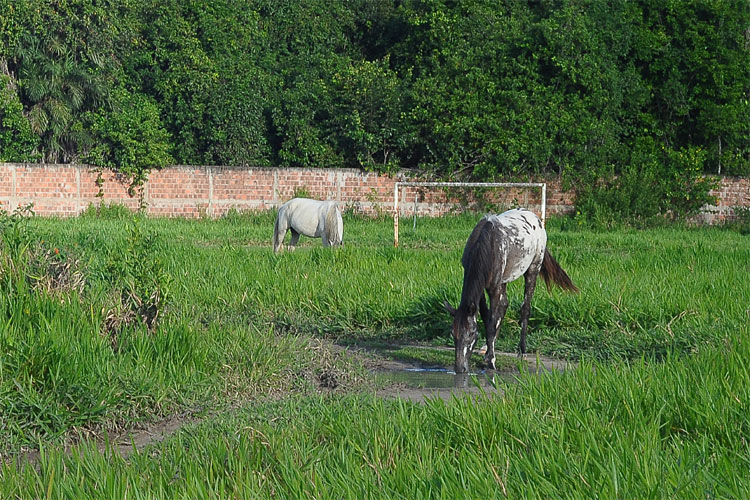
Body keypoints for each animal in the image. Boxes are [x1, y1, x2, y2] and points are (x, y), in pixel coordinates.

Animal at [446, 209, 580, 374]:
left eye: (471, 333)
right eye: (453, 333)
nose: (460, 368)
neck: (488, 244)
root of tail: (536, 218)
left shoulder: (494, 287)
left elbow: (491, 322)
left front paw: (491, 361)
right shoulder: (483, 288)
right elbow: (487, 317)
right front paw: (488, 353)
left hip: (533, 269)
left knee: (525, 309)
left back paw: (522, 351)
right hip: (504, 281)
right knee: (504, 305)